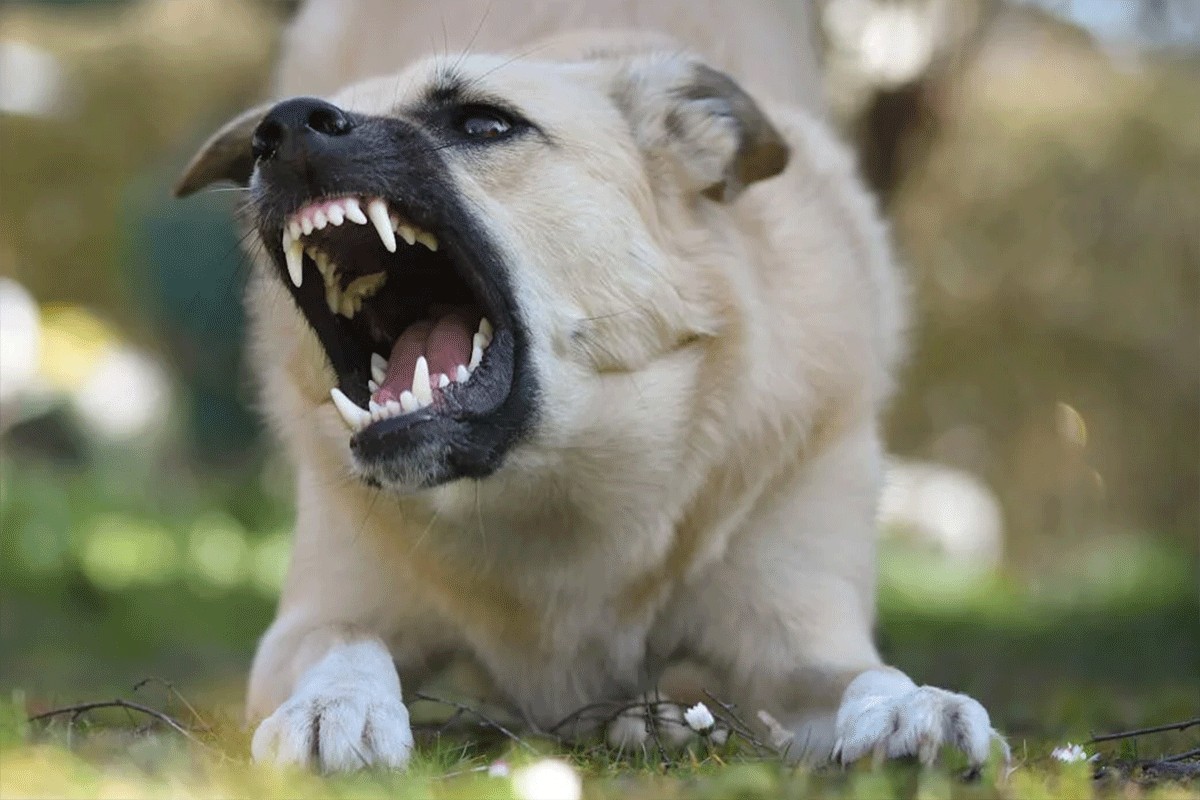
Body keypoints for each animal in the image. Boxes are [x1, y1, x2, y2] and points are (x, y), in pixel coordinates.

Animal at [175, 3, 1003, 772]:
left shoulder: (798, 636)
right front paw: (334, 707)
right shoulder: (316, 615)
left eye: (484, 123)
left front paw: (912, 710)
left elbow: (863, 674)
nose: (281, 129)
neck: (551, 490)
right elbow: (345, 642)